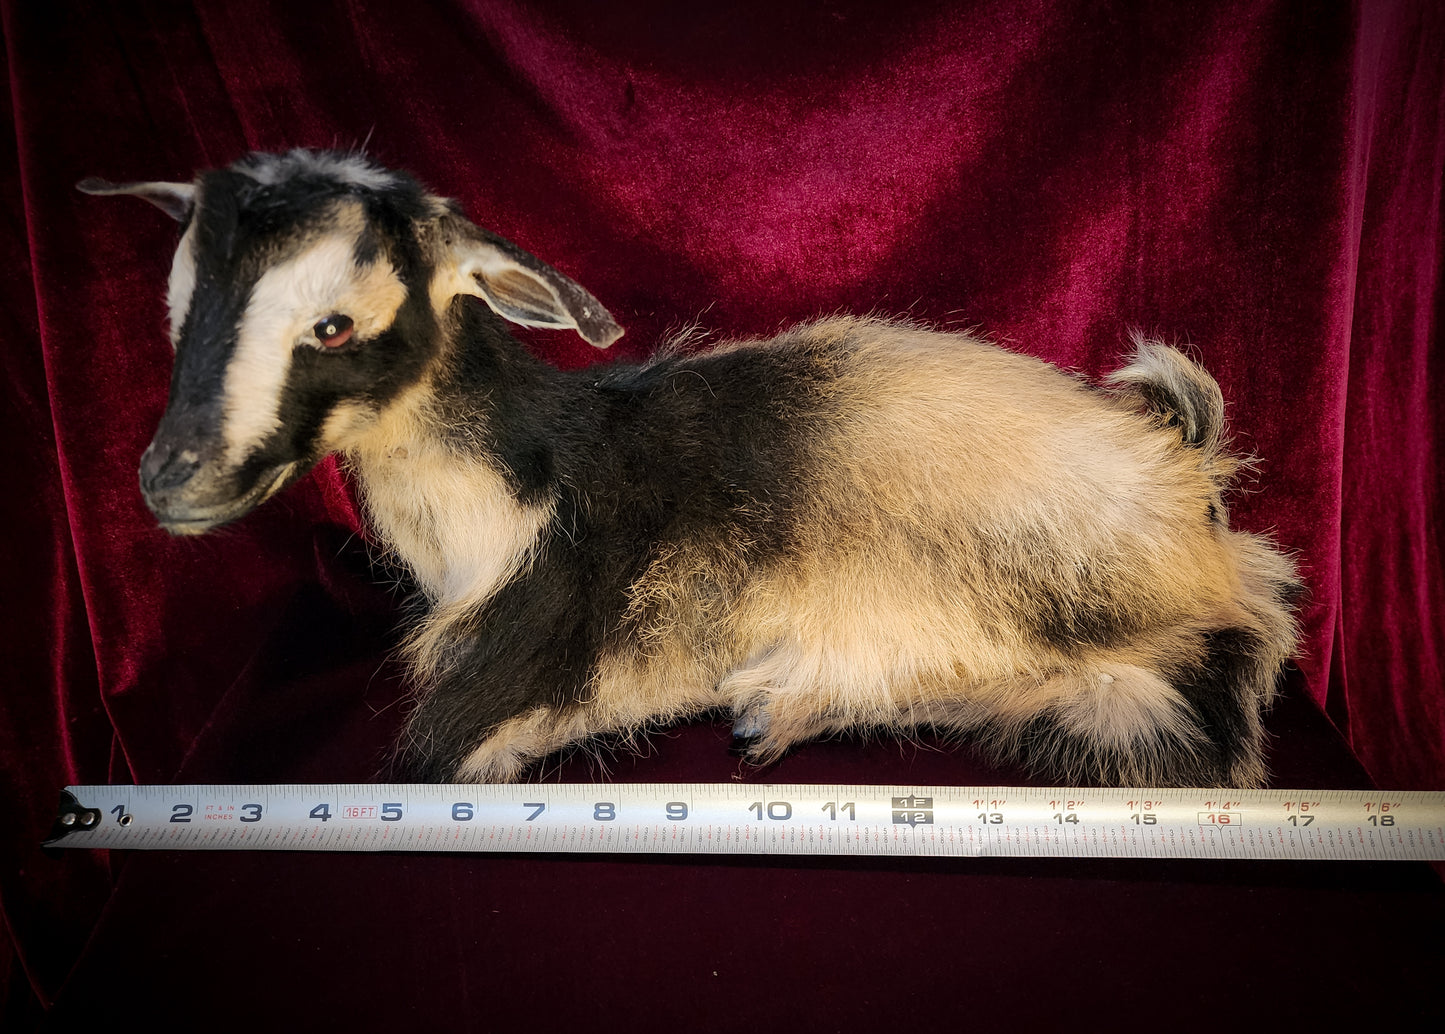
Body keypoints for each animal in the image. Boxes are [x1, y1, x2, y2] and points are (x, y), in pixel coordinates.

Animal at [80, 149, 1301, 786]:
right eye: (178, 305)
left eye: (331, 323)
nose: (169, 481)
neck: (512, 495)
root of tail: (1184, 478)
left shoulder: (486, 687)